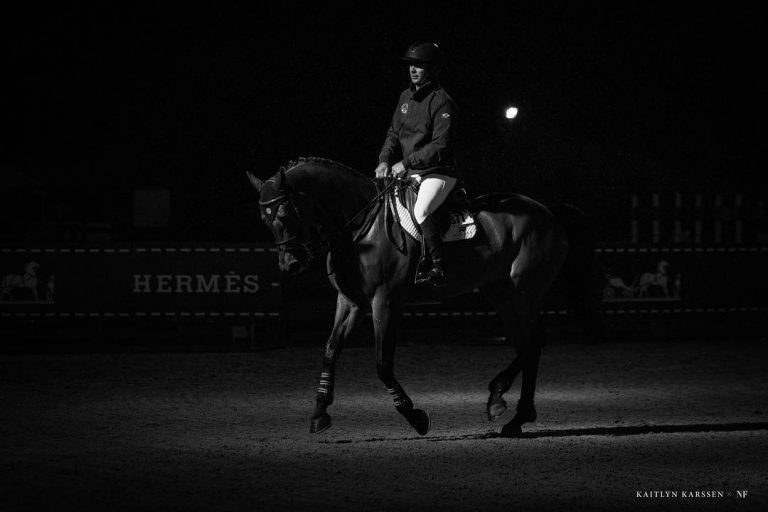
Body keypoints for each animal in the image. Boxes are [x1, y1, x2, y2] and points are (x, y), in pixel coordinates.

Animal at [247, 157, 600, 437]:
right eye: (264, 218)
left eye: (285, 212)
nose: (289, 265)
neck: (360, 228)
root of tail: (547, 211)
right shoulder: (350, 302)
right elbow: (330, 351)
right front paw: (319, 414)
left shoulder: (385, 302)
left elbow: (382, 364)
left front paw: (415, 416)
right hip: (501, 293)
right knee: (527, 344)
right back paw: (501, 401)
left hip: (524, 291)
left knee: (534, 342)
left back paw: (514, 413)